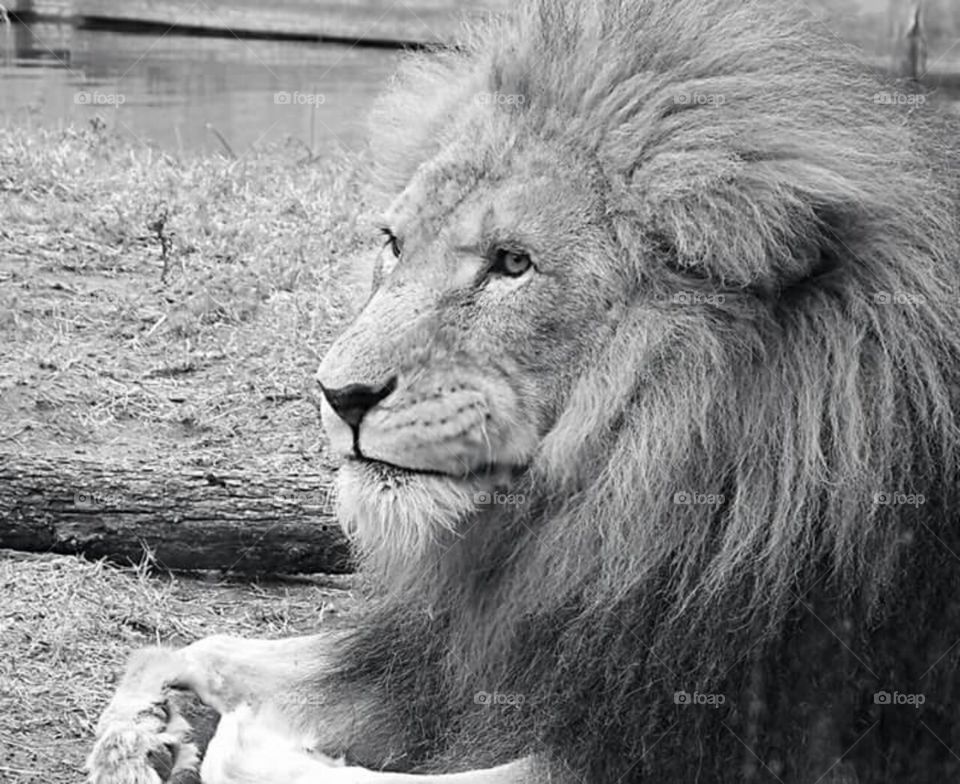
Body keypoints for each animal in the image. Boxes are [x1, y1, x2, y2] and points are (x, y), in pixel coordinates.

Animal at [86, 0, 960, 781]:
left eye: (512, 264)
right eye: (394, 244)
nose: (339, 394)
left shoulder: (699, 739)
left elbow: (266, 754)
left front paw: (220, 734)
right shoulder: (454, 656)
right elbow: (196, 647)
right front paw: (143, 733)